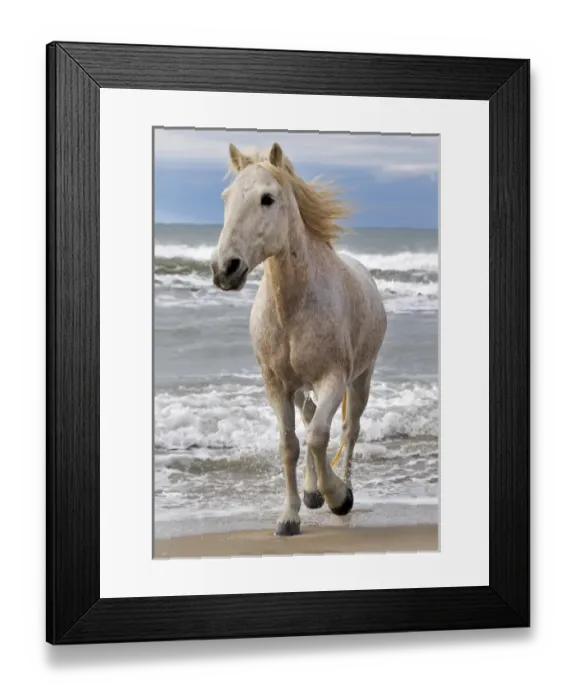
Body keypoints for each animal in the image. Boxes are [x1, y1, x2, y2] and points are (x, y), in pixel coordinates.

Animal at [211, 142, 388, 536]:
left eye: (267, 198)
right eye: (226, 197)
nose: (224, 269)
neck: (293, 307)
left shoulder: (333, 379)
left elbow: (320, 436)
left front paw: (338, 497)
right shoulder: (277, 385)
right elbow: (290, 444)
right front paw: (291, 515)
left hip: (361, 379)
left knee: (349, 430)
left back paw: (341, 488)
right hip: (299, 388)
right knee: (308, 418)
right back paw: (311, 491)